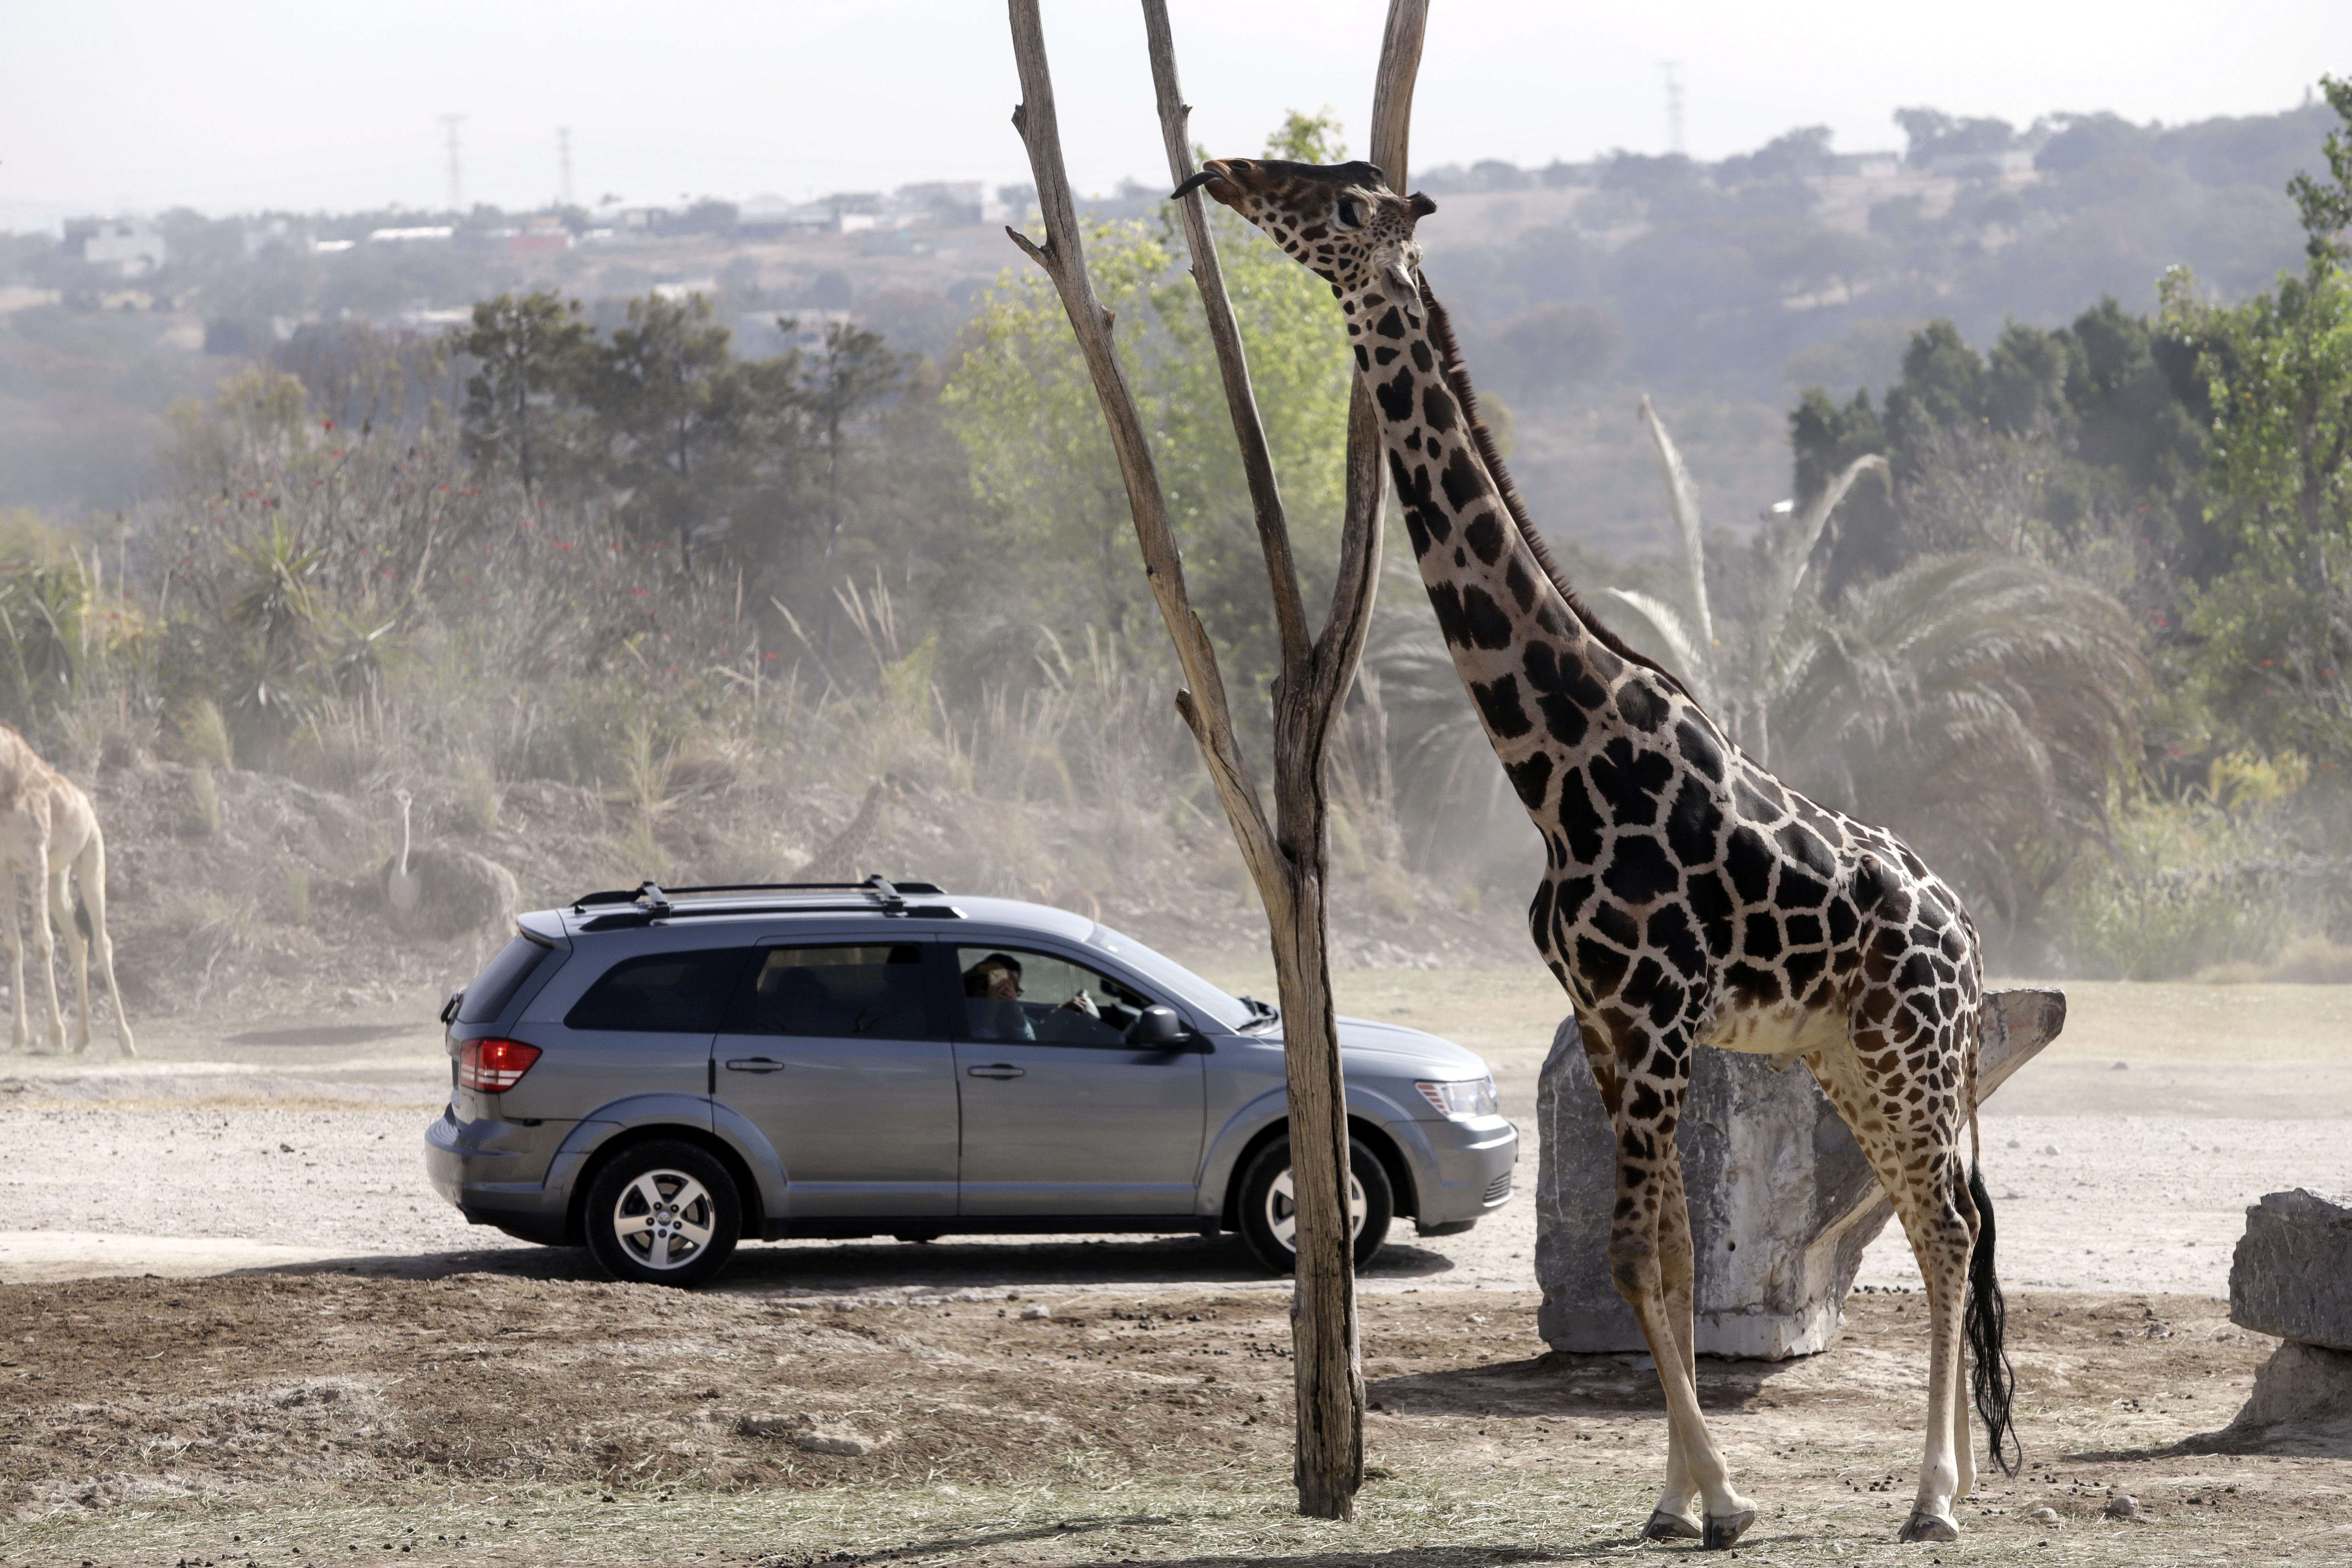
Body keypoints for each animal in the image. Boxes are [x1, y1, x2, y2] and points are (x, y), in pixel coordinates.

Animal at [0, 724, 134, 1053]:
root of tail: (88, 806)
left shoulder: (35, 855)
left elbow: (43, 943)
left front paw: (56, 1033)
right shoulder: (4, 865)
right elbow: (13, 946)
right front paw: (19, 1035)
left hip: (91, 861)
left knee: (102, 941)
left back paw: (126, 1041)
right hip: (58, 878)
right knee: (79, 940)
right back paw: (83, 1038)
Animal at [1185, 156, 2013, 1542]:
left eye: (1343, 204)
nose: (1224, 172)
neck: (1556, 769)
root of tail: (1966, 925)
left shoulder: (1654, 1012)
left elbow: (1632, 1250)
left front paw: (1720, 1497)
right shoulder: (1610, 1024)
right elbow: (1665, 1253)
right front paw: (1679, 1498)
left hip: (1908, 1050)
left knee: (1949, 1228)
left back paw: (1935, 1499)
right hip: (1848, 1057)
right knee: (1928, 1220)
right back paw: (1936, 1481)